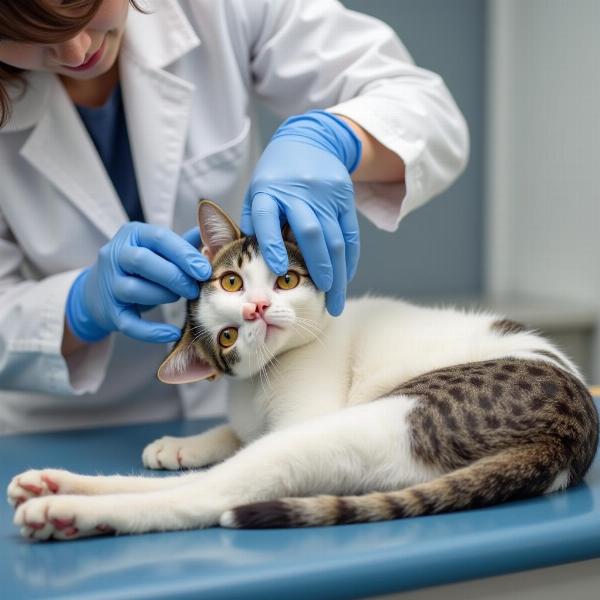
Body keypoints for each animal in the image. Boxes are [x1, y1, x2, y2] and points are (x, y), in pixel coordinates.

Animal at [7, 200, 596, 540]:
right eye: (226, 335)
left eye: (242, 281)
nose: (256, 309)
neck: (262, 382)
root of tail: (567, 438)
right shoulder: (250, 416)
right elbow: (231, 433)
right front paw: (182, 442)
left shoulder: (299, 416)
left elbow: (233, 455)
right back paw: (52, 485)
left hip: (360, 425)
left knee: (210, 493)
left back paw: (63, 507)